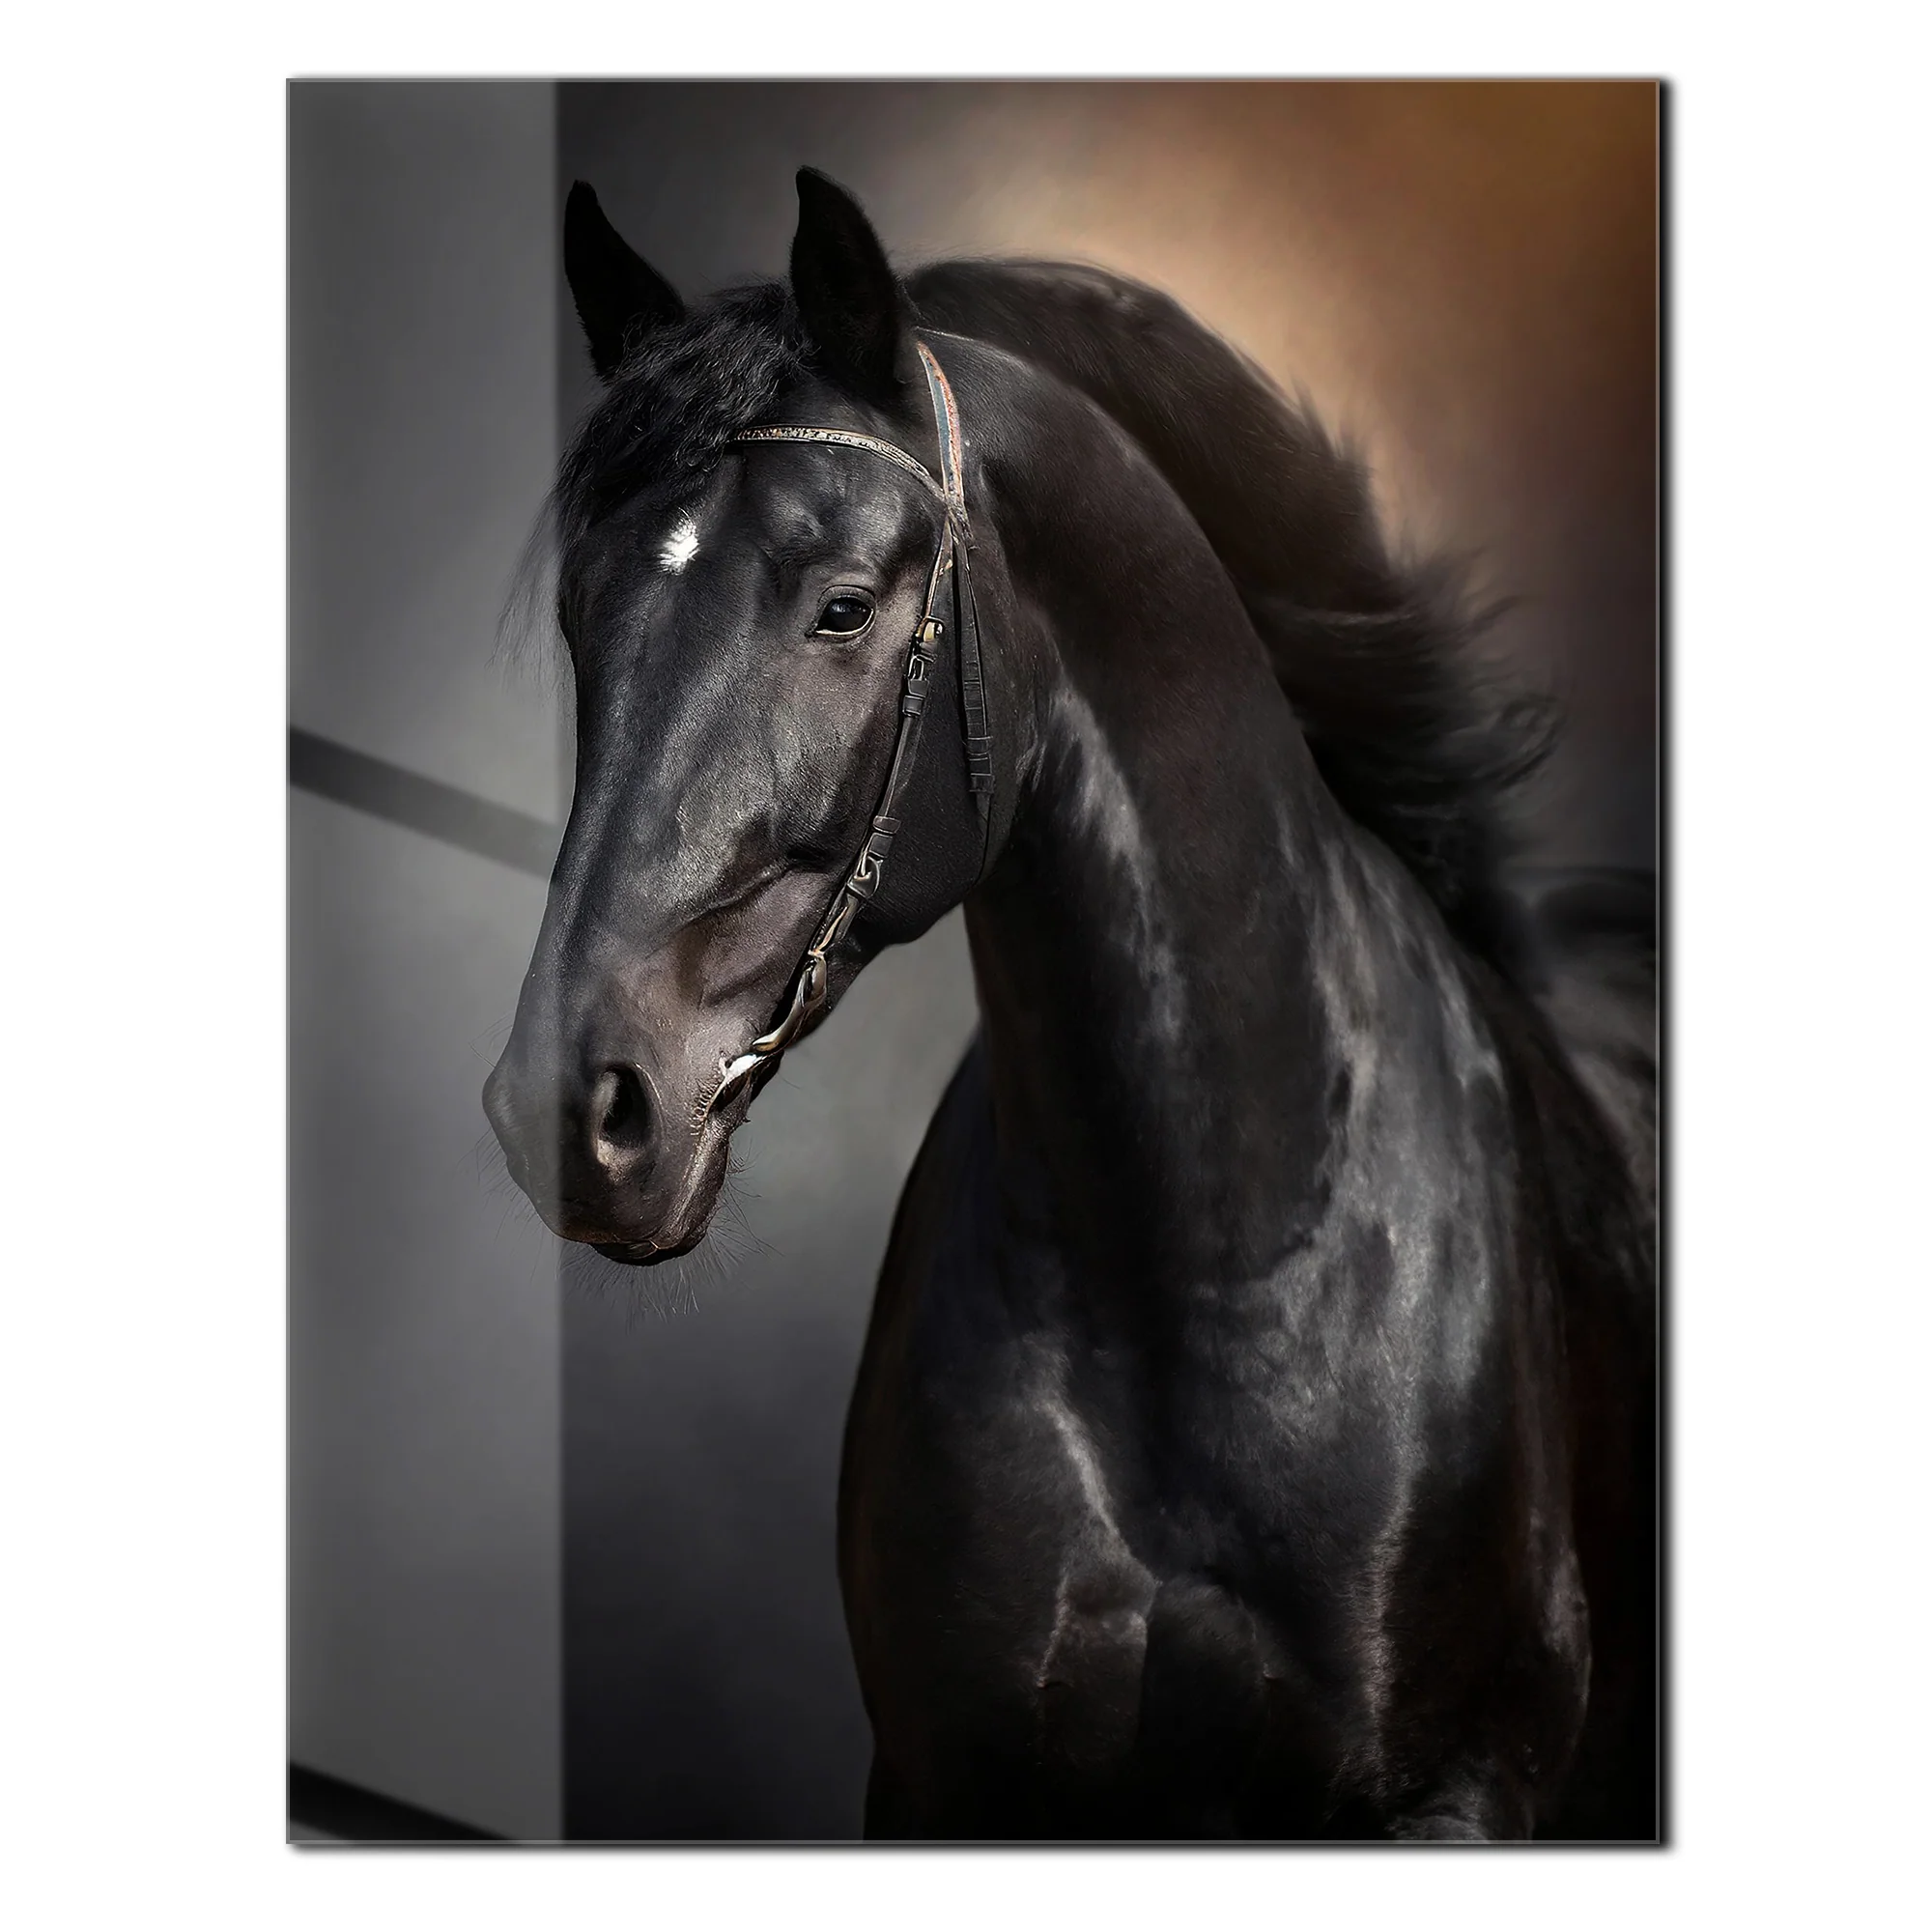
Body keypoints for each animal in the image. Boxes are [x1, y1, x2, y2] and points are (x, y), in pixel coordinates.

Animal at [483, 166, 1657, 1842]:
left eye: (844, 609)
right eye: (588, 616)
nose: (569, 1108)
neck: (1209, 1265)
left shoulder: (1452, 1798)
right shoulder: (946, 1786)